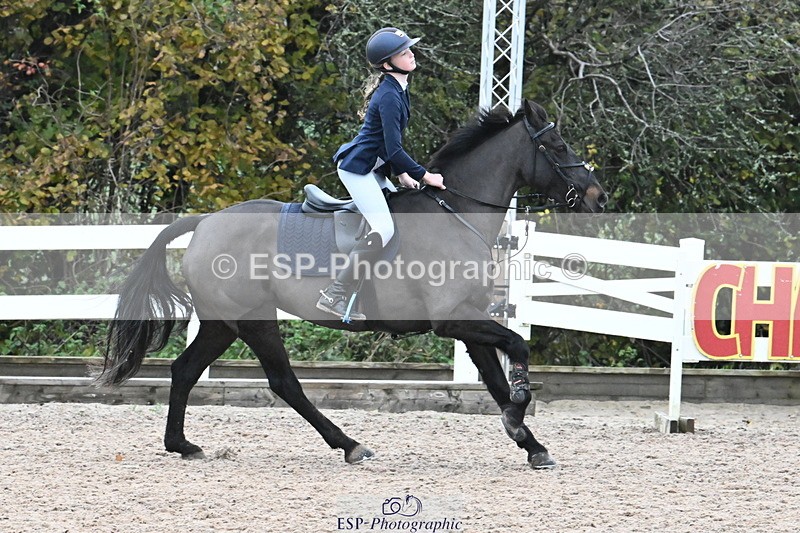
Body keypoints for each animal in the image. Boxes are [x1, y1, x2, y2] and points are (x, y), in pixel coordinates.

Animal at [97, 100, 607, 470]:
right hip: (252, 319)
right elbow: (518, 349)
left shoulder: (469, 321)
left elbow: (498, 382)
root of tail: (205, 222)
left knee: (185, 370)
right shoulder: (452, 321)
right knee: (284, 382)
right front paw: (521, 411)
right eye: (558, 145)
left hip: (223, 323)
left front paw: (529, 441)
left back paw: (182, 445)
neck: (456, 215)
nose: (598, 198)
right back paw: (349, 445)